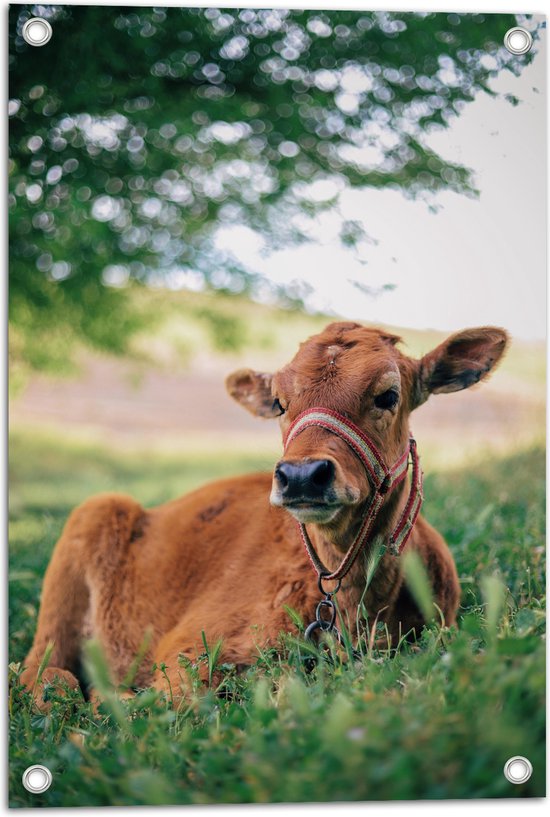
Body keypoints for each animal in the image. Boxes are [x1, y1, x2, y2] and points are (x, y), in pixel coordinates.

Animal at [20, 321, 508, 708]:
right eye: (279, 403)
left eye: (388, 395)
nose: (302, 475)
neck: (354, 604)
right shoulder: (186, 653)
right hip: (88, 524)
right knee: (41, 674)